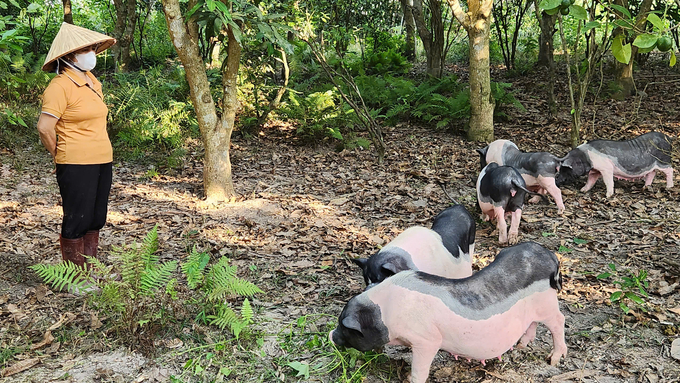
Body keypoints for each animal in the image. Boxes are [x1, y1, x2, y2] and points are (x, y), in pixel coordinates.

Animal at [330, 243, 568, 383]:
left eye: (343, 325)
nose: (331, 335)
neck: (387, 312)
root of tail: (549, 255)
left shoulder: (427, 340)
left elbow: (420, 368)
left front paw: (410, 378)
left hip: (548, 303)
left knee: (559, 321)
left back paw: (554, 360)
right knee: (533, 323)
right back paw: (521, 346)